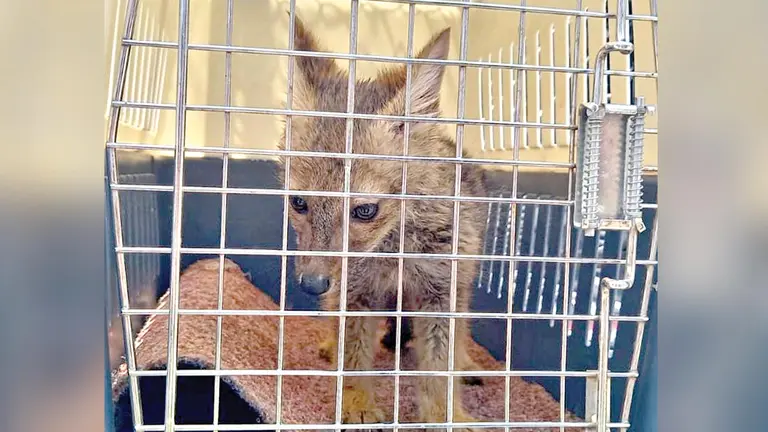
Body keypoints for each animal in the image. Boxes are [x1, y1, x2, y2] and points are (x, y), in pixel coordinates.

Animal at [278, 16, 489, 431]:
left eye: (365, 211)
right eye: (299, 203)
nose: (311, 284)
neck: (394, 252)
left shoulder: (442, 294)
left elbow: (439, 369)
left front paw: (445, 415)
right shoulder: (353, 294)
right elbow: (354, 360)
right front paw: (356, 406)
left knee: (460, 336)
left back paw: (467, 364)